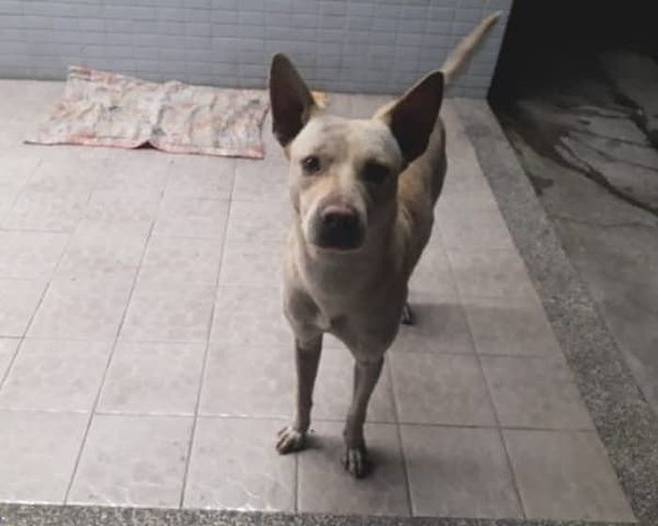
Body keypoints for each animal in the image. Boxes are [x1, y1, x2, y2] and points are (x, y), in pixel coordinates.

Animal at [269, 12, 501, 478]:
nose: (338, 218)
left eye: (378, 171)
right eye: (310, 163)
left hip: (430, 218)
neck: (334, 275)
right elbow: (303, 392)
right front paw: (299, 431)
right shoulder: (304, 339)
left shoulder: (370, 357)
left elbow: (357, 410)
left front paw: (355, 447)